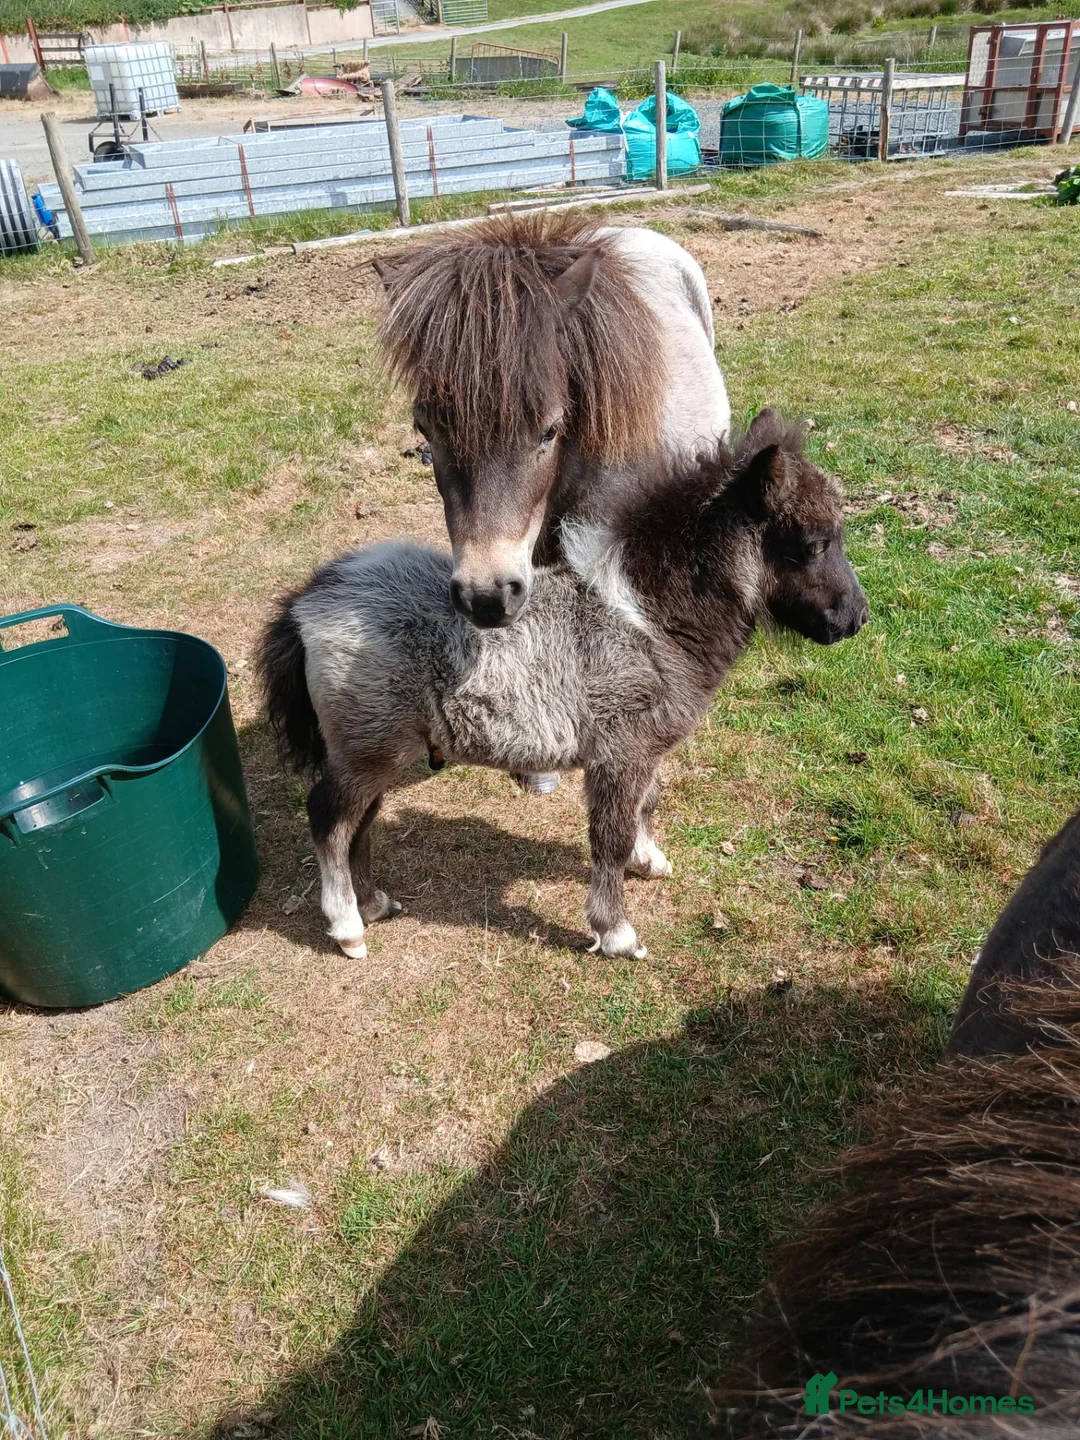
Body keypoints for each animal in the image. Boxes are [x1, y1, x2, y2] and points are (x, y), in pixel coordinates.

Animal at [258, 409, 868, 964]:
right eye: (814, 543)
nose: (856, 619)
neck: (647, 617)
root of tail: (309, 601)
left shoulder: (644, 749)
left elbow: (647, 803)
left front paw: (648, 860)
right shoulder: (618, 754)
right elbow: (610, 836)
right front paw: (615, 932)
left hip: (379, 750)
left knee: (361, 822)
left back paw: (373, 903)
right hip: (368, 750)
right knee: (330, 819)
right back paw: (347, 928)